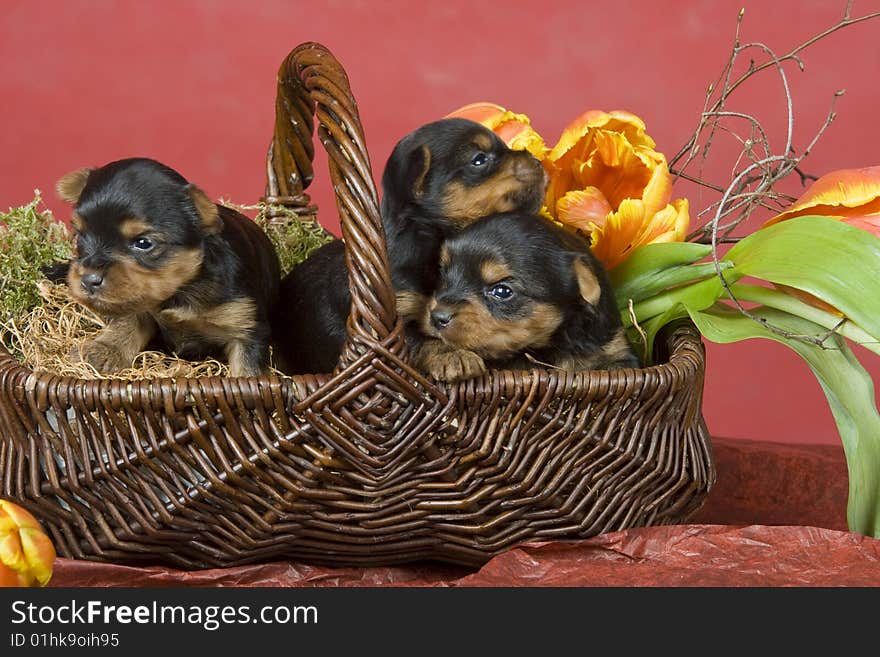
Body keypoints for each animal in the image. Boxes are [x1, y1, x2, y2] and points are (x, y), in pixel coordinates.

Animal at [43, 156, 280, 376]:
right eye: (79, 236)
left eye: (143, 243)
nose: (88, 280)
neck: (181, 289)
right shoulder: (136, 304)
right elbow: (126, 323)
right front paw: (102, 351)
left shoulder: (246, 327)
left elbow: (247, 370)